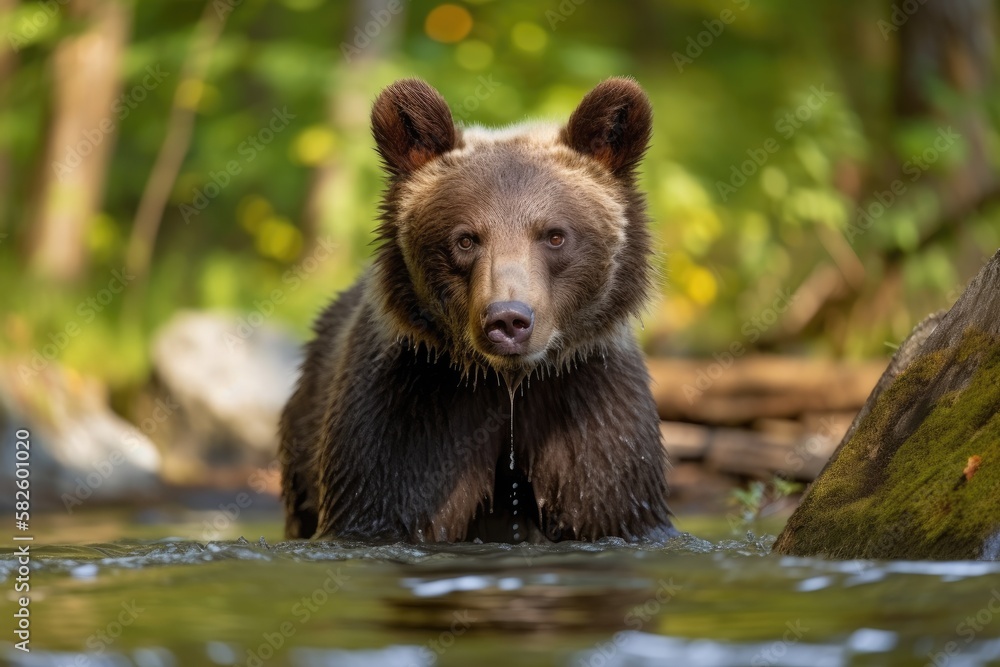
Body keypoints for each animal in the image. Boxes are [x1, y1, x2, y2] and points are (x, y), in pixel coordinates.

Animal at [279, 77, 676, 544]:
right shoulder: (411, 405)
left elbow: (610, 501)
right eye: (466, 239)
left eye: (554, 235)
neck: (508, 384)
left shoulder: (590, 406)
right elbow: (387, 499)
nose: (508, 319)